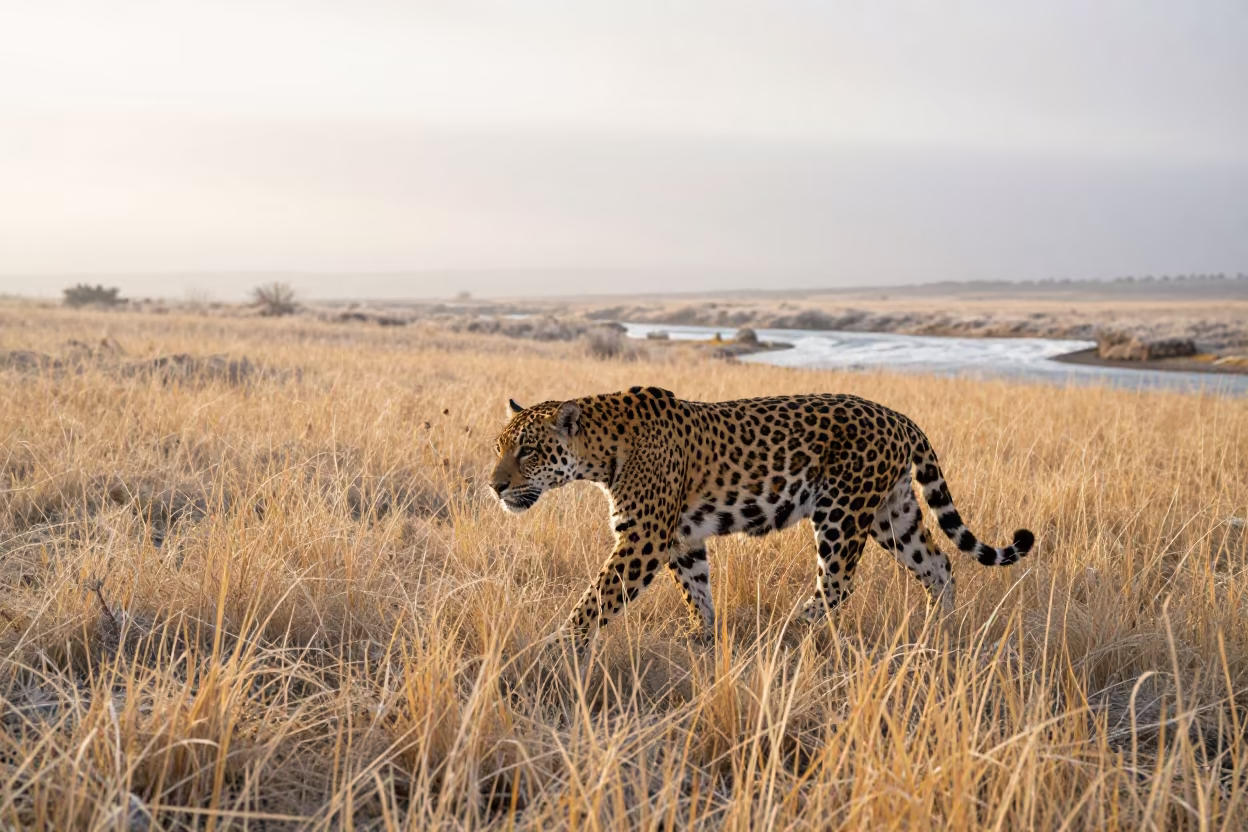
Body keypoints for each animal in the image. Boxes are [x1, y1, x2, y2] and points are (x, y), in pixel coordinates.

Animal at [490, 386, 1033, 646]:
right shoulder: (681, 537)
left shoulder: (643, 537)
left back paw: (790, 632)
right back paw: (939, 629)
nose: (495, 486)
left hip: (842, 513)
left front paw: (559, 644)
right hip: (890, 513)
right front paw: (702, 637)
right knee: (938, 565)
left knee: (838, 584)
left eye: (528, 451)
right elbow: (696, 589)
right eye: (500, 448)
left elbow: (597, 597)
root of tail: (898, 416)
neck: (599, 451)